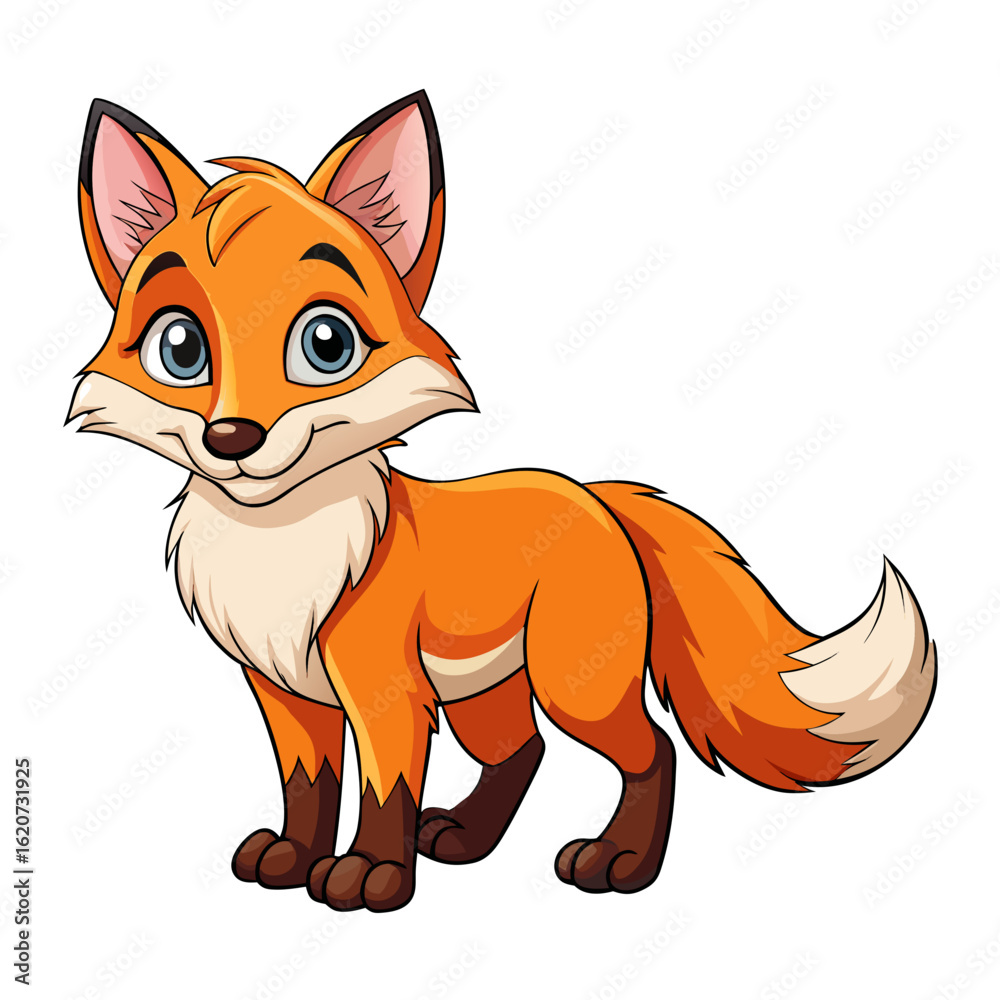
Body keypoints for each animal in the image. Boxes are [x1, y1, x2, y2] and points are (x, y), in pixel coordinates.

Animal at [68, 91, 935, 913]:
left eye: (326, 344)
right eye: (181, 349)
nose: (232, 437)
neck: (281, 549)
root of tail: (596, 496)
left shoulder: (385, 693)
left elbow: (383, 790)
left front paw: (371, 877)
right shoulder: (285, 694)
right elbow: (308, 787)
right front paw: (291, 858)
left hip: (573, 685)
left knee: (649, 750)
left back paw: (619, 863)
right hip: (488, 694)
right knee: (523, 751)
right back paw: (465, 837)